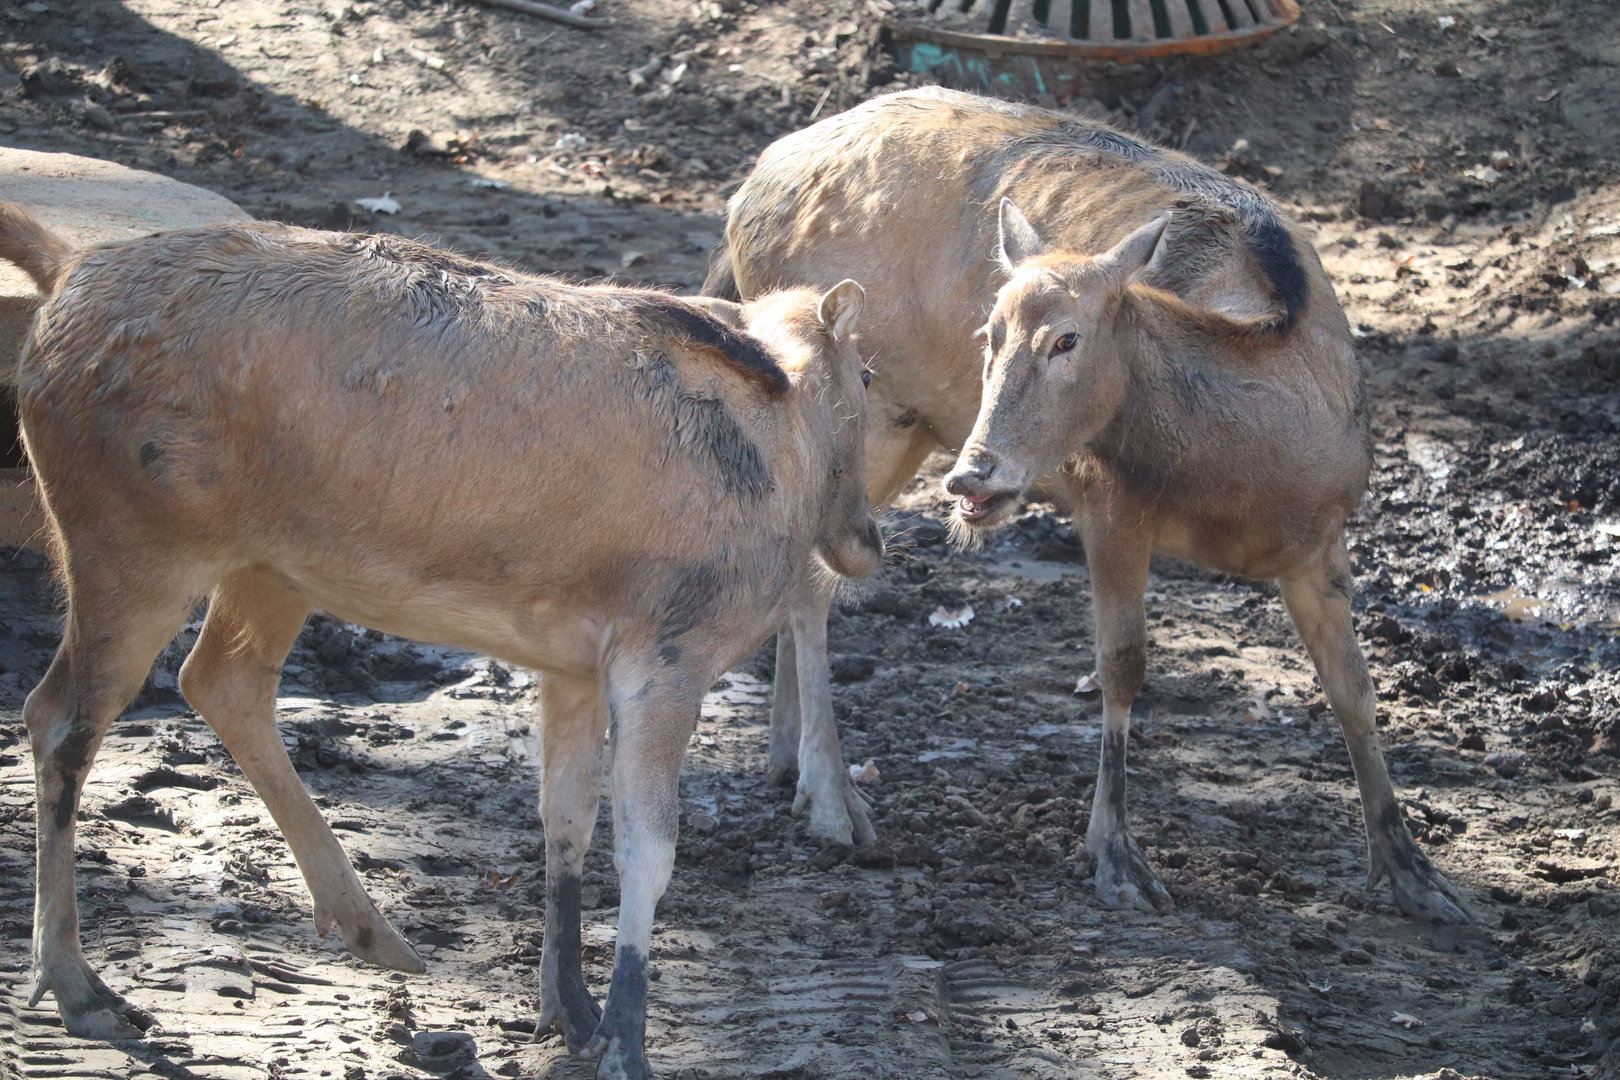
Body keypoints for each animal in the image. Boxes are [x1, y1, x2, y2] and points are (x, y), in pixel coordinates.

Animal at [706, 86, 1467, 924]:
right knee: (816, 578)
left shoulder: (1324, 536)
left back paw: (784, 761)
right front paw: (1116, 857)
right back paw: (833, 799)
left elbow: (1355, 689)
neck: (1244, 485)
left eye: (1066, 340)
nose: (973, 477)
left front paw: (1414, 872)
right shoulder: (1108, 501)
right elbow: (1122, 666)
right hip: (868, 410)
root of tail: (746, 192)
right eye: (989, 333)